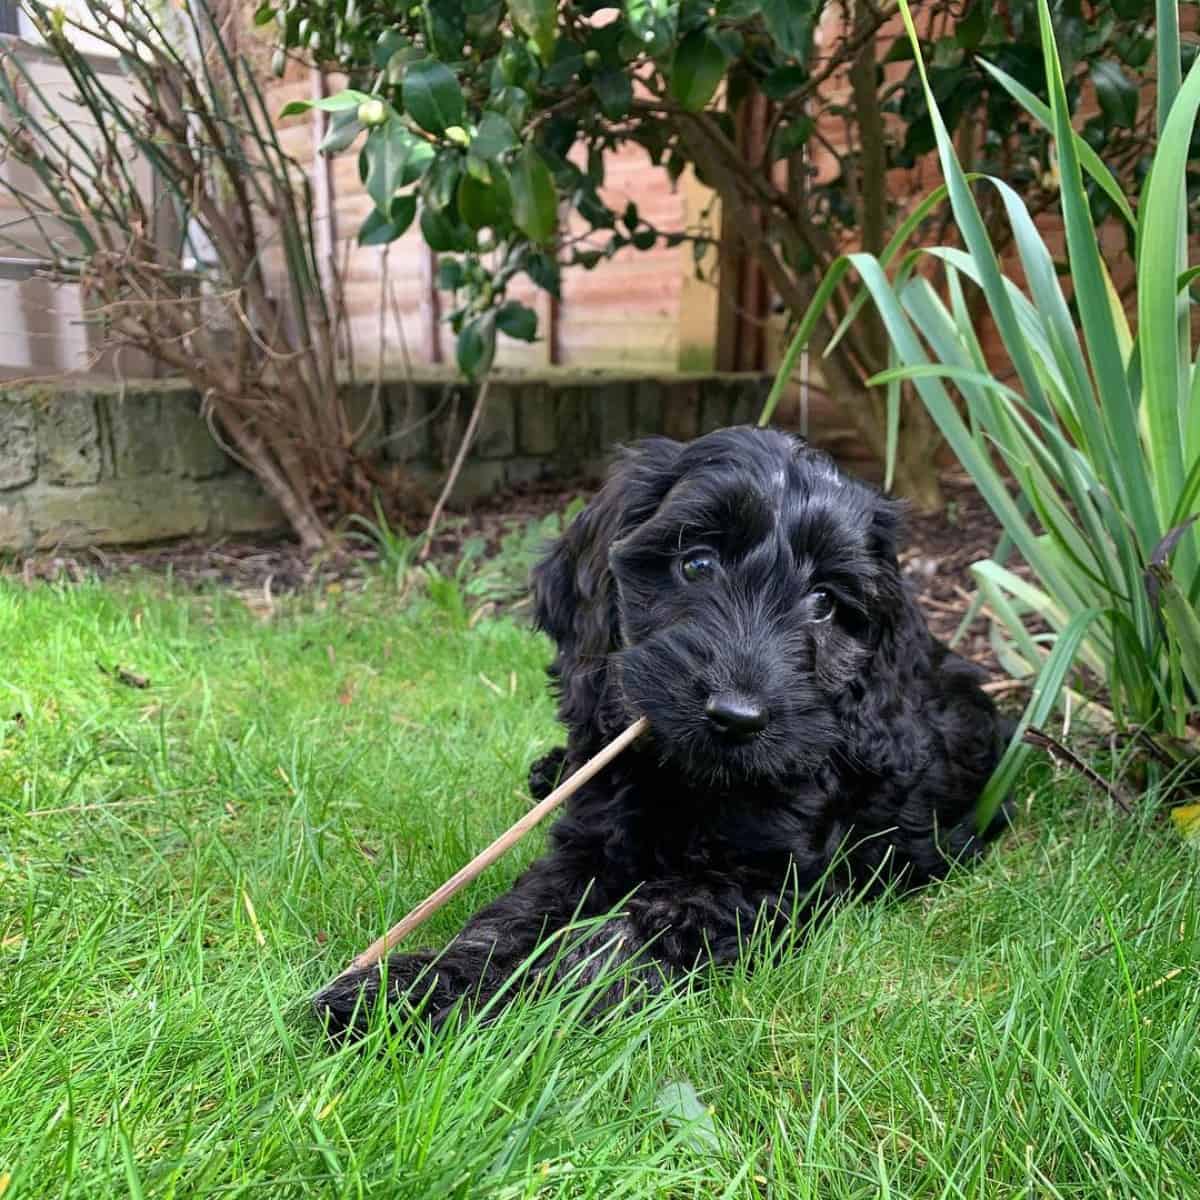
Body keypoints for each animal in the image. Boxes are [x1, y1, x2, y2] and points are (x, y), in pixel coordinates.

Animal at [314, 429, 1008, 1032]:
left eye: (825, 603)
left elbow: (629, 932)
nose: (737, 716)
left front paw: (522, 1002)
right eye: (696, 564)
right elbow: (517, 915)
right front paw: (413, 989)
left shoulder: (769, 882)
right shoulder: (587, 846)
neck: (685, 781)